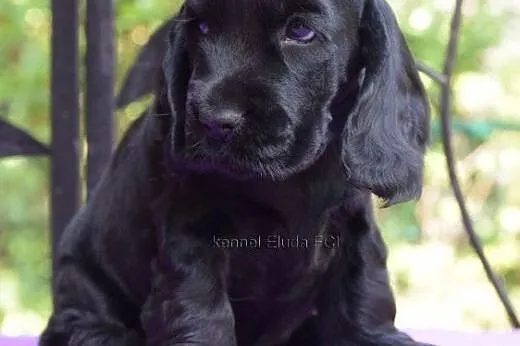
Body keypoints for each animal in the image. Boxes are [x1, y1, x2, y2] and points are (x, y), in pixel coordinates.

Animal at [39, 0, 430, 346]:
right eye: (201, 27)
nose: (214, 122)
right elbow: (201, 312)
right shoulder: (192, 235)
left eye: (300, 31)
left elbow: (363, 293)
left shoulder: (352, 227)